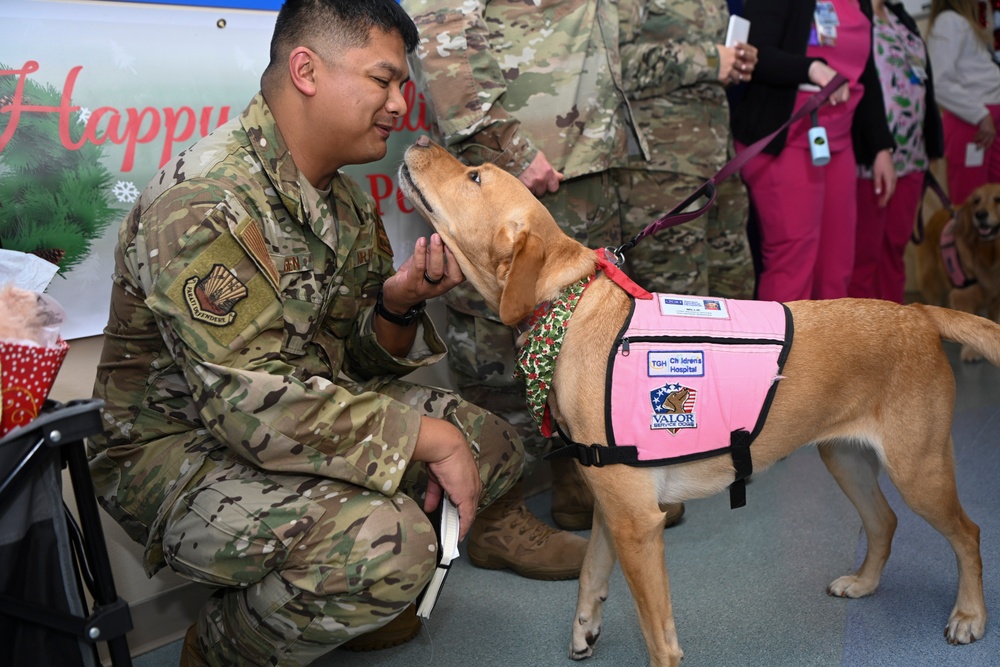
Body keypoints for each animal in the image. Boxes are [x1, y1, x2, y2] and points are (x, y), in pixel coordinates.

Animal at [396, 138, 992, 664]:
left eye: (475, 176)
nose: (419, 140)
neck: (570, 308)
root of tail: (917, 313)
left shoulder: (638, 524)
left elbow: (658, 636)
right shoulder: (612, 511)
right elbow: (589, 576)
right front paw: (584, 630)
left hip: (919, 470)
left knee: (968, 533)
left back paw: (969, 615)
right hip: (845, 458)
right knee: (885, 523)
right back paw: (866, 583)